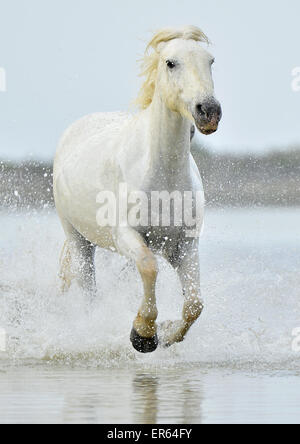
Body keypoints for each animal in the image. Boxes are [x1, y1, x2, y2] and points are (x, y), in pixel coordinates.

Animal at [54, 27, 221, 354]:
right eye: (170, 62)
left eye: (210, 61)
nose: (208, 111)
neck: (164, 178)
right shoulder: (127, 236)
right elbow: (149, 267)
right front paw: (142, 335)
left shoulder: (184, 245)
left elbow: (194, 304)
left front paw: (165, 334)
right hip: (79, 240)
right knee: (89, 290)